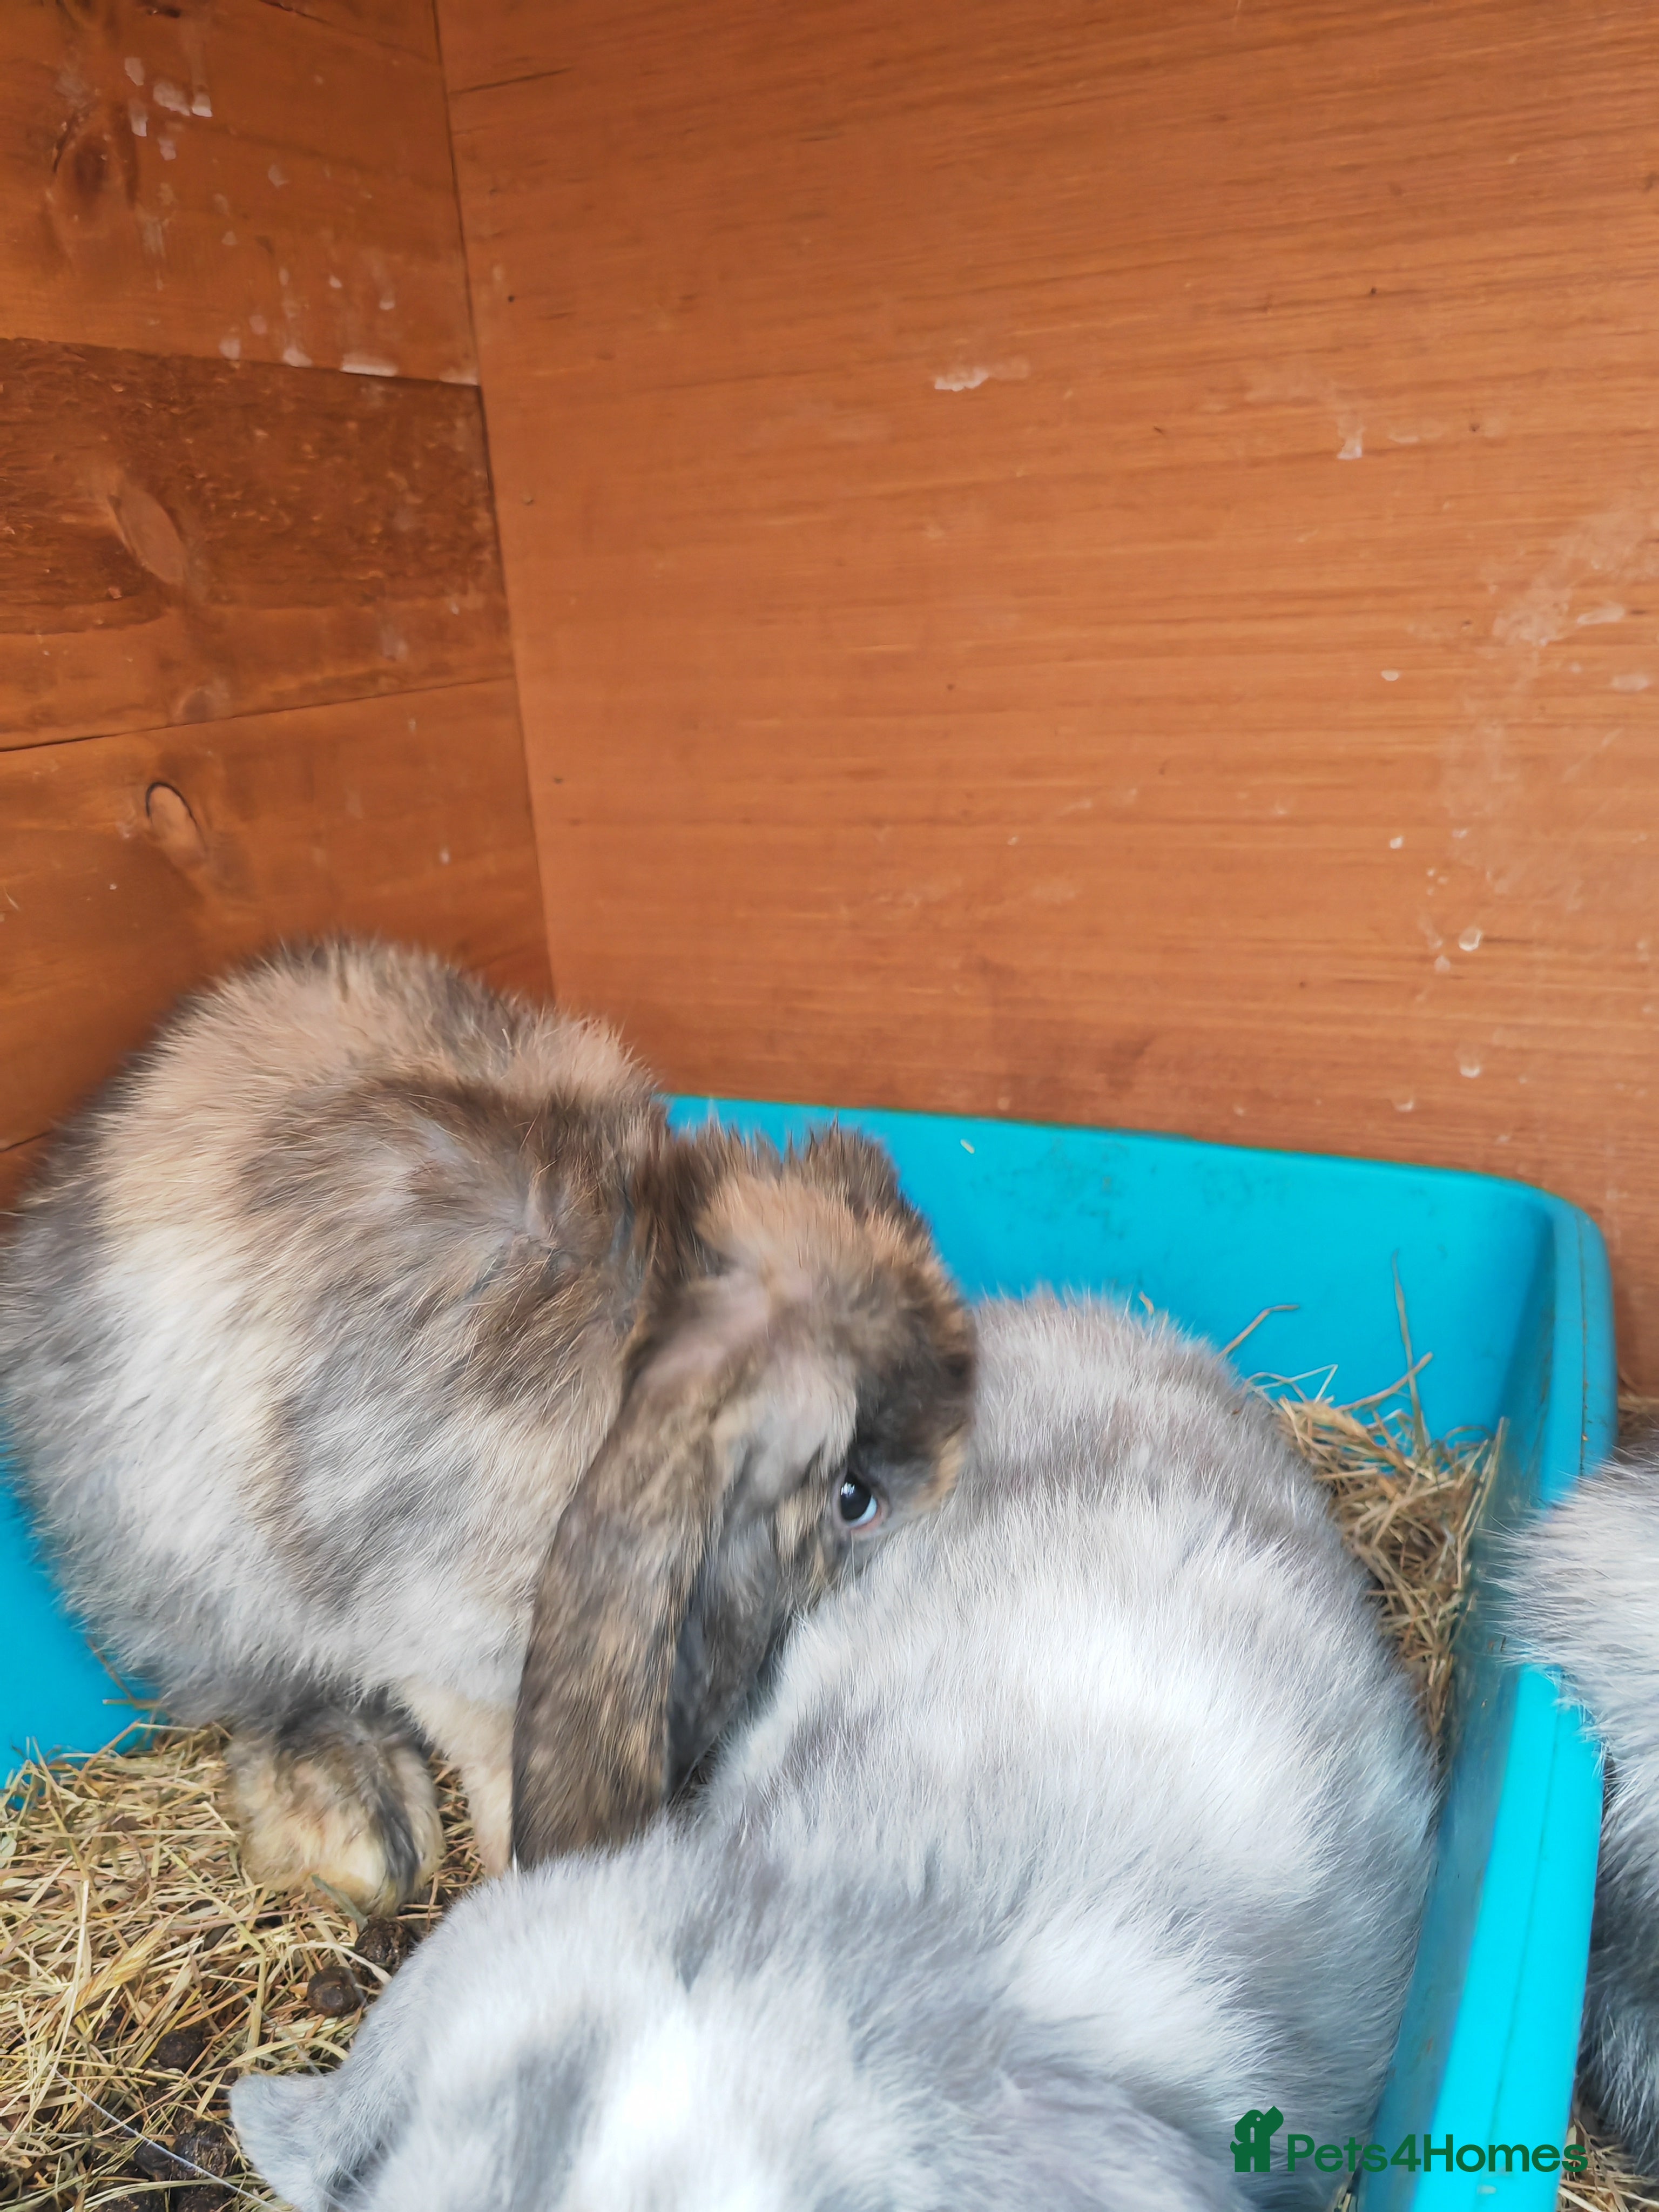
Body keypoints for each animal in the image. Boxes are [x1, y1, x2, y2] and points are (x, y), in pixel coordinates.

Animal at [0, 938, 974, 1913]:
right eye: (854, 1498)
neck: (646, 1296)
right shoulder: (440, 1643)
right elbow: (493, 1758)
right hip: (194, 1590)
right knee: (267, 1695)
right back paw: (358, 1825)